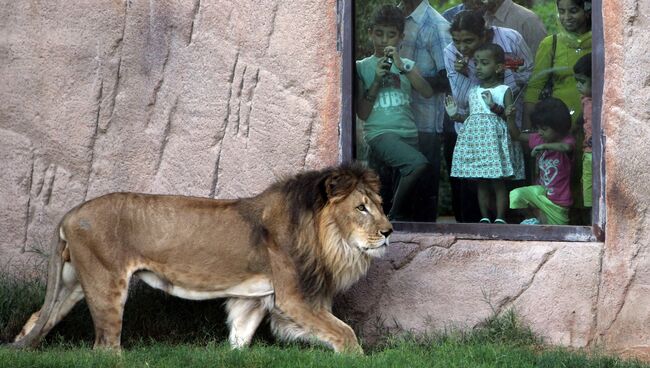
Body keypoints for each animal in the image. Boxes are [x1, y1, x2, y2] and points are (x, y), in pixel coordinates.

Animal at [11, 164, 390, 354]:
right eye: (361, 208)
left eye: (380, 205)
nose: (388, 231)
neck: (328, 239)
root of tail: (71, 213)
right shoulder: (294, 298)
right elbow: (345, 334)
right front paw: (358, 360)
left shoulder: (254, 299)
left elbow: (239, 338)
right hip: (107, 285)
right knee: (104, 347)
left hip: (76, 281)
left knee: (37, 319)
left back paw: (19, 350)